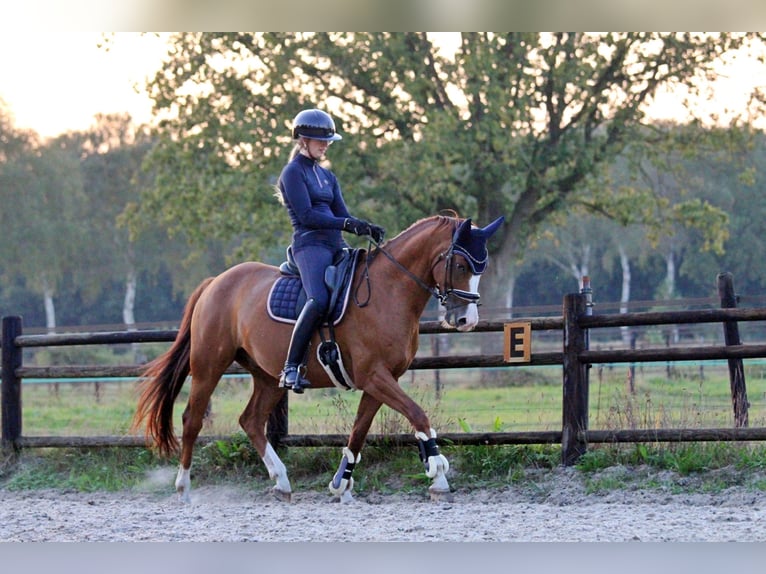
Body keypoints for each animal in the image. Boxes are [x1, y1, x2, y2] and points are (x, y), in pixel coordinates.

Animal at [132, 213, 504, 504]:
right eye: (460, 264)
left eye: (481, 267)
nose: (465, 320)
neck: (389, 290)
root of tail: (215, 282)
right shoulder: (375, 376)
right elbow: (417, 414)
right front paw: (436, 470)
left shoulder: (381, 380)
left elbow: (358, 431)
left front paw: (341, 483)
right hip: (209, 365)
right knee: (192, 419)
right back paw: (183, 486)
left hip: (267, 376)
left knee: (251, 420)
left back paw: (282, 482)